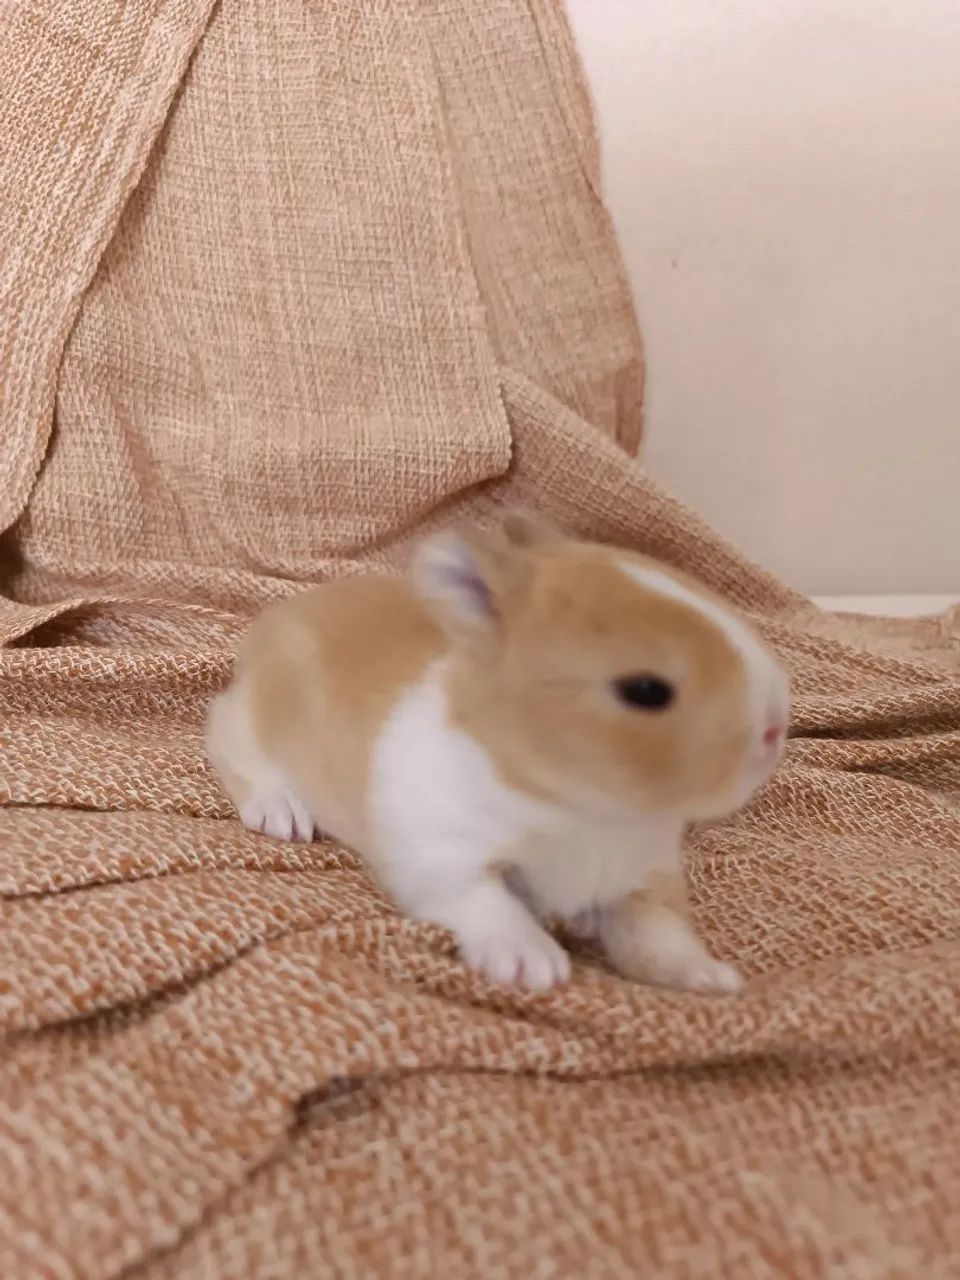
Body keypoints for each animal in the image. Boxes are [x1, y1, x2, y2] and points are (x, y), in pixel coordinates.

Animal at [206, 514, 789, 994]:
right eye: (646, 691)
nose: (775, 727)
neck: (573, 807)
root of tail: (270, 623)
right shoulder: (443, 856)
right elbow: (488, 901)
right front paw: (530, 961)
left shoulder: (645, 879)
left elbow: (657, 934)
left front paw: (707, 977)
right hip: (256, 721)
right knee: (228, 741)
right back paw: (280, 810)